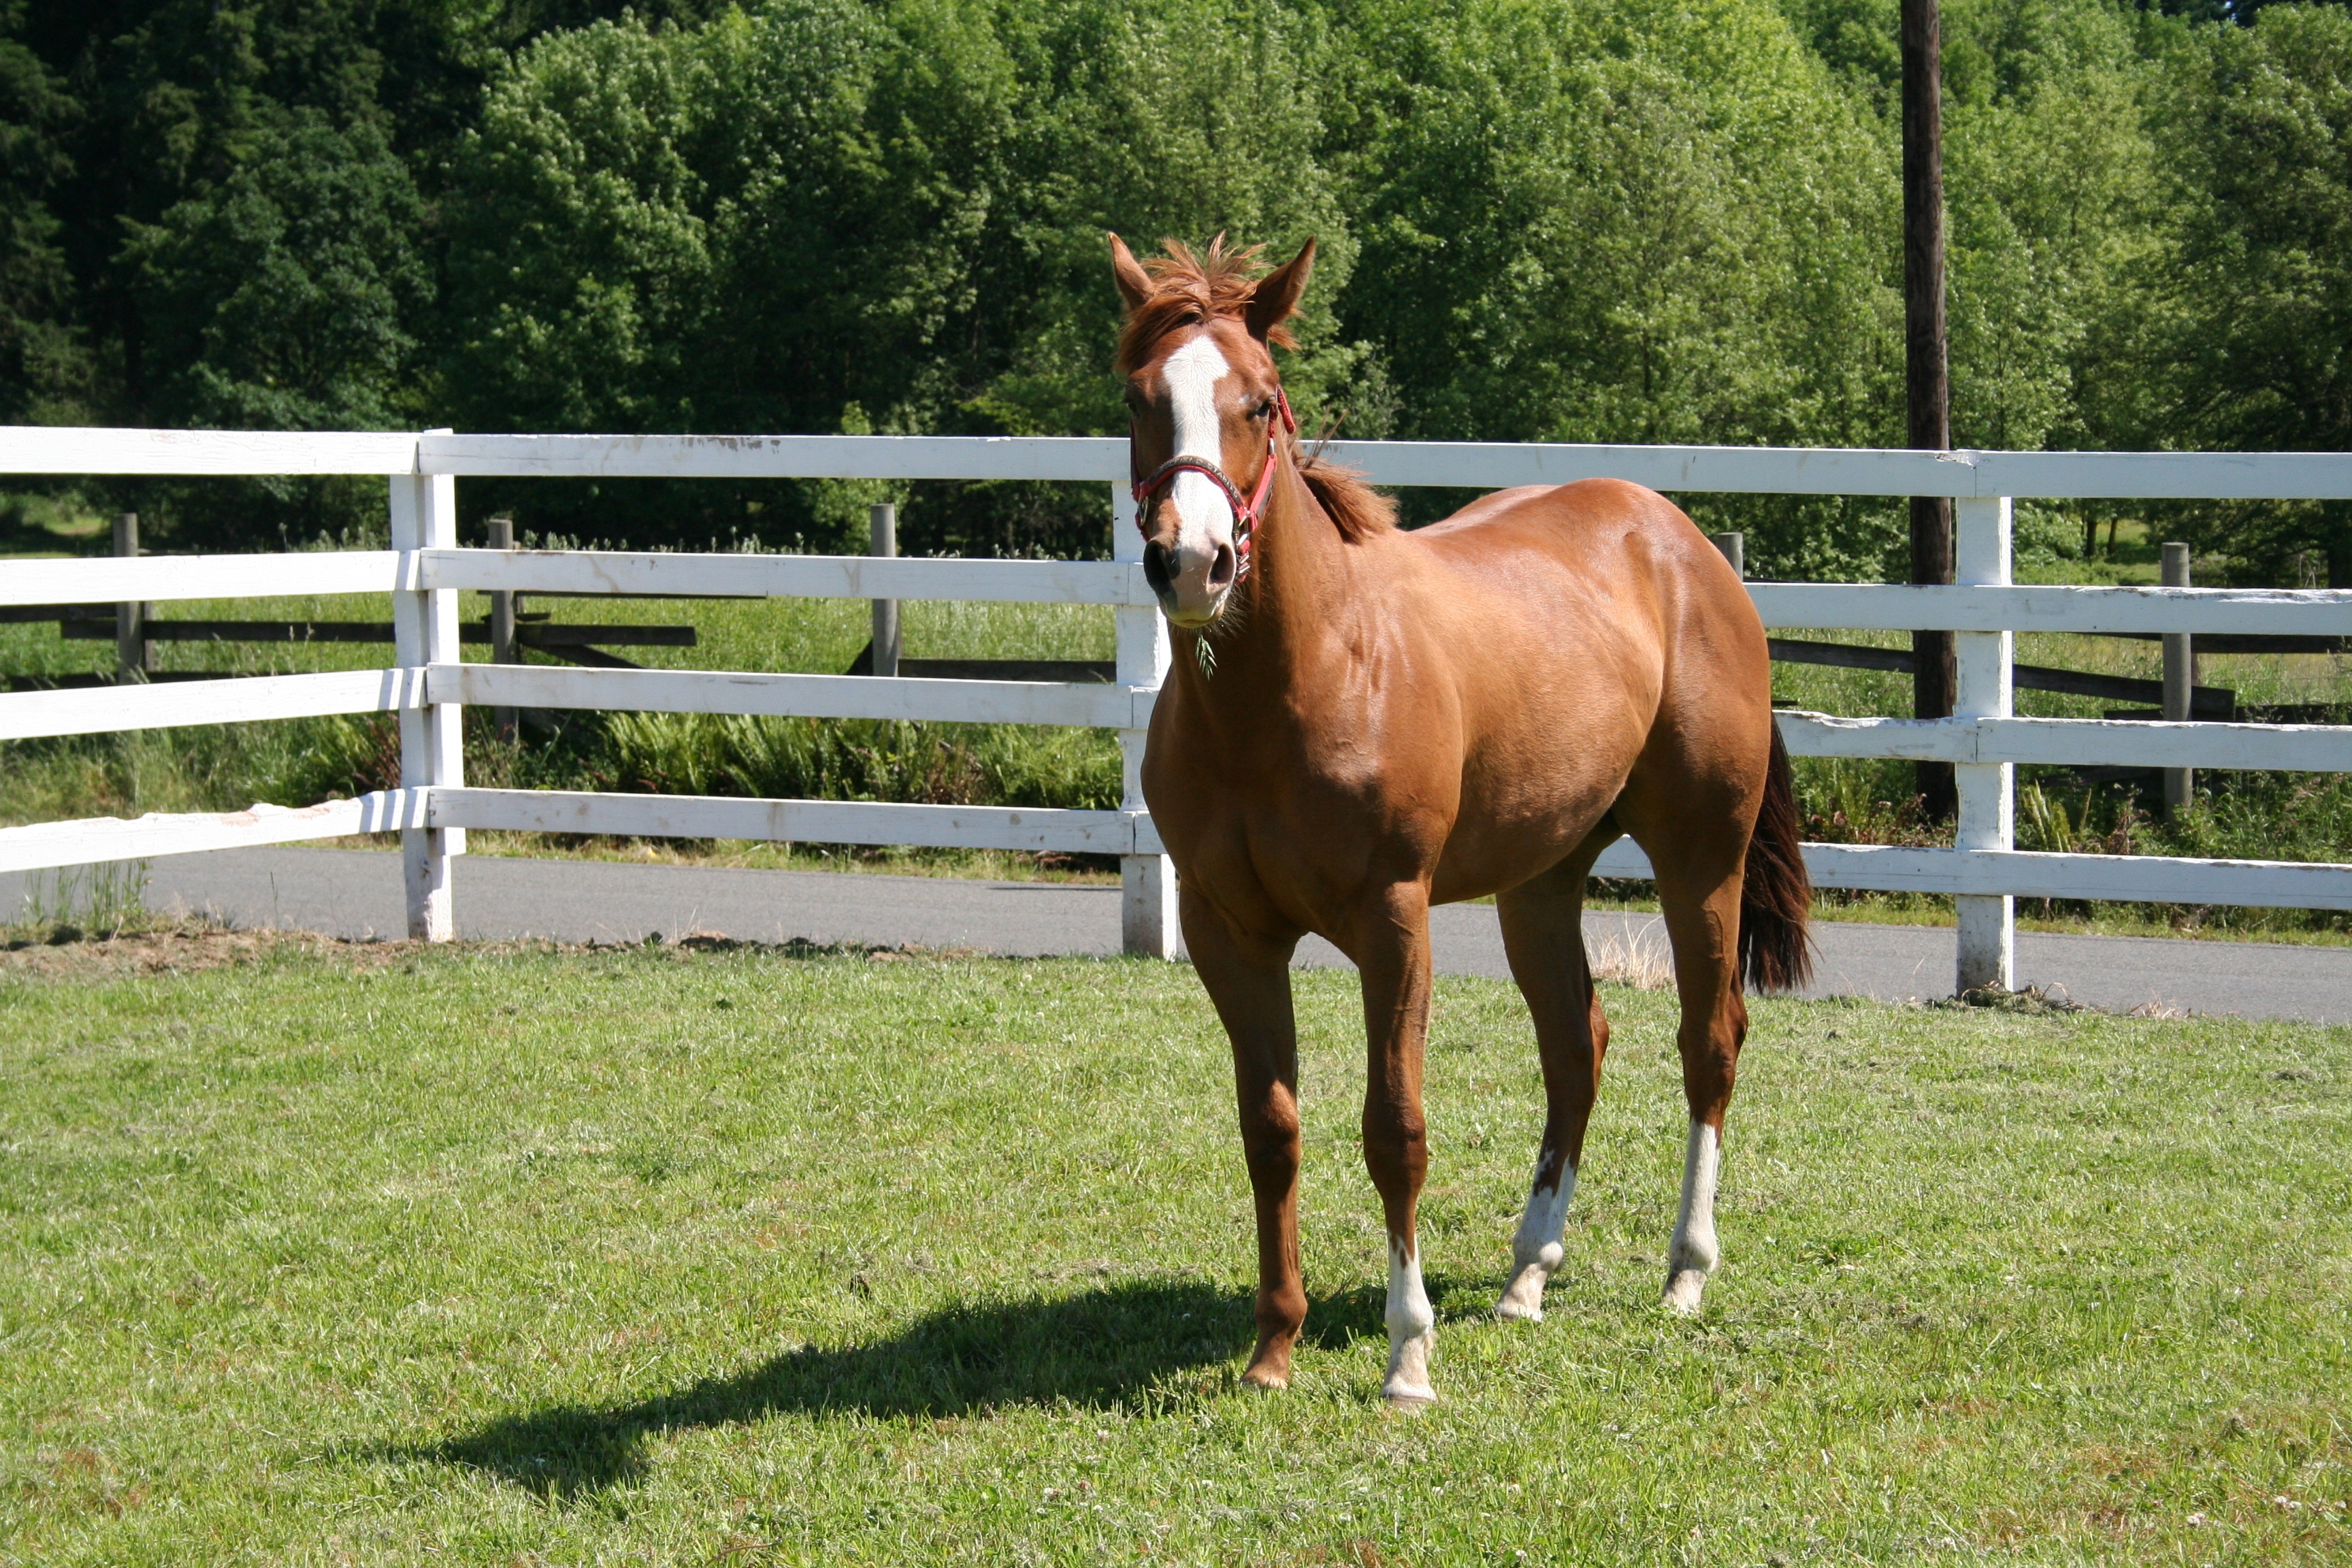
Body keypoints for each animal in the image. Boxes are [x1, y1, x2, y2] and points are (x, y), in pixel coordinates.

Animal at [1110, 236, 1806, 1410]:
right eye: (1141, 398)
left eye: (1260, 399)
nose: (1192, 561)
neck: (1299, 681)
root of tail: (1684, 544)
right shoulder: (1227, 932)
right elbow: (1271, 1129)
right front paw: (1273, 1347)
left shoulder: (1395, 920)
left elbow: (1395, 1132)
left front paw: (1408, 1356)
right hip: (1541, 883)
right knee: (1577, 1048)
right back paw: (1528, 1274)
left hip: (1699, 859)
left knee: (1709, 1042)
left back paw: (1684, 1272)